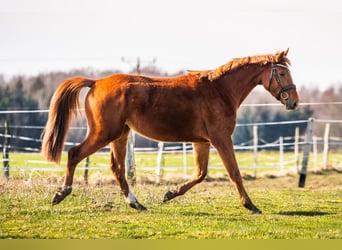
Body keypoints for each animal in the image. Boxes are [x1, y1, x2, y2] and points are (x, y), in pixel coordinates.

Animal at [42, 48, 296, 213]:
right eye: (282, 73)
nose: (293, 102)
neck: (219, 90)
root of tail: (95, 83)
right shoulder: (221, 138)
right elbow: (234, 172)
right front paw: (250, 205)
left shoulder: (202, 142)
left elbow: (200, 174)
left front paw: (170, 193)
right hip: (104, 134)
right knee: (74, 154)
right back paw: (60, 194)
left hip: (120, 135)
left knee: (117, 169)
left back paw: (136, 204)